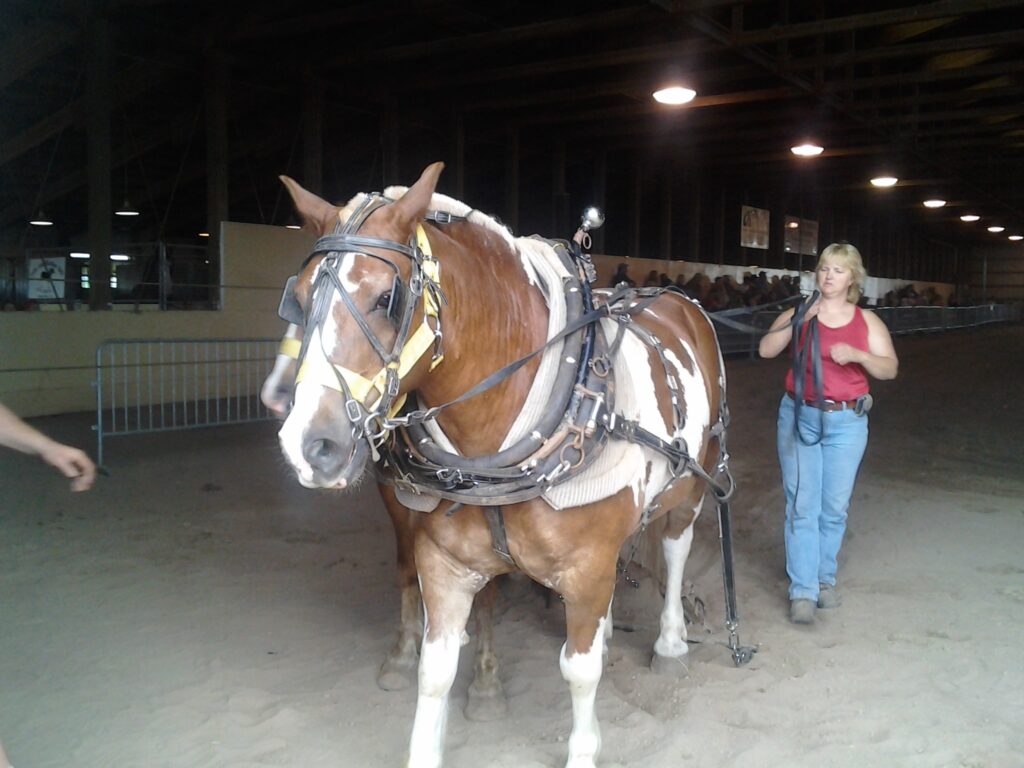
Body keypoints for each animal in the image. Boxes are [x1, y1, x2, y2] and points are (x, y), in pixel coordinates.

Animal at [275, 162, 733, 768]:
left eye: (386, 297)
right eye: (300, 299)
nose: (308, 443)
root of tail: (679, 298)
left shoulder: (586, 565)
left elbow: (579, 671)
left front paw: (583, 746)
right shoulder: (444, 564)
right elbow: (434, 670)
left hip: (693, 481)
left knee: (677, 547)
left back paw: (671, 641)